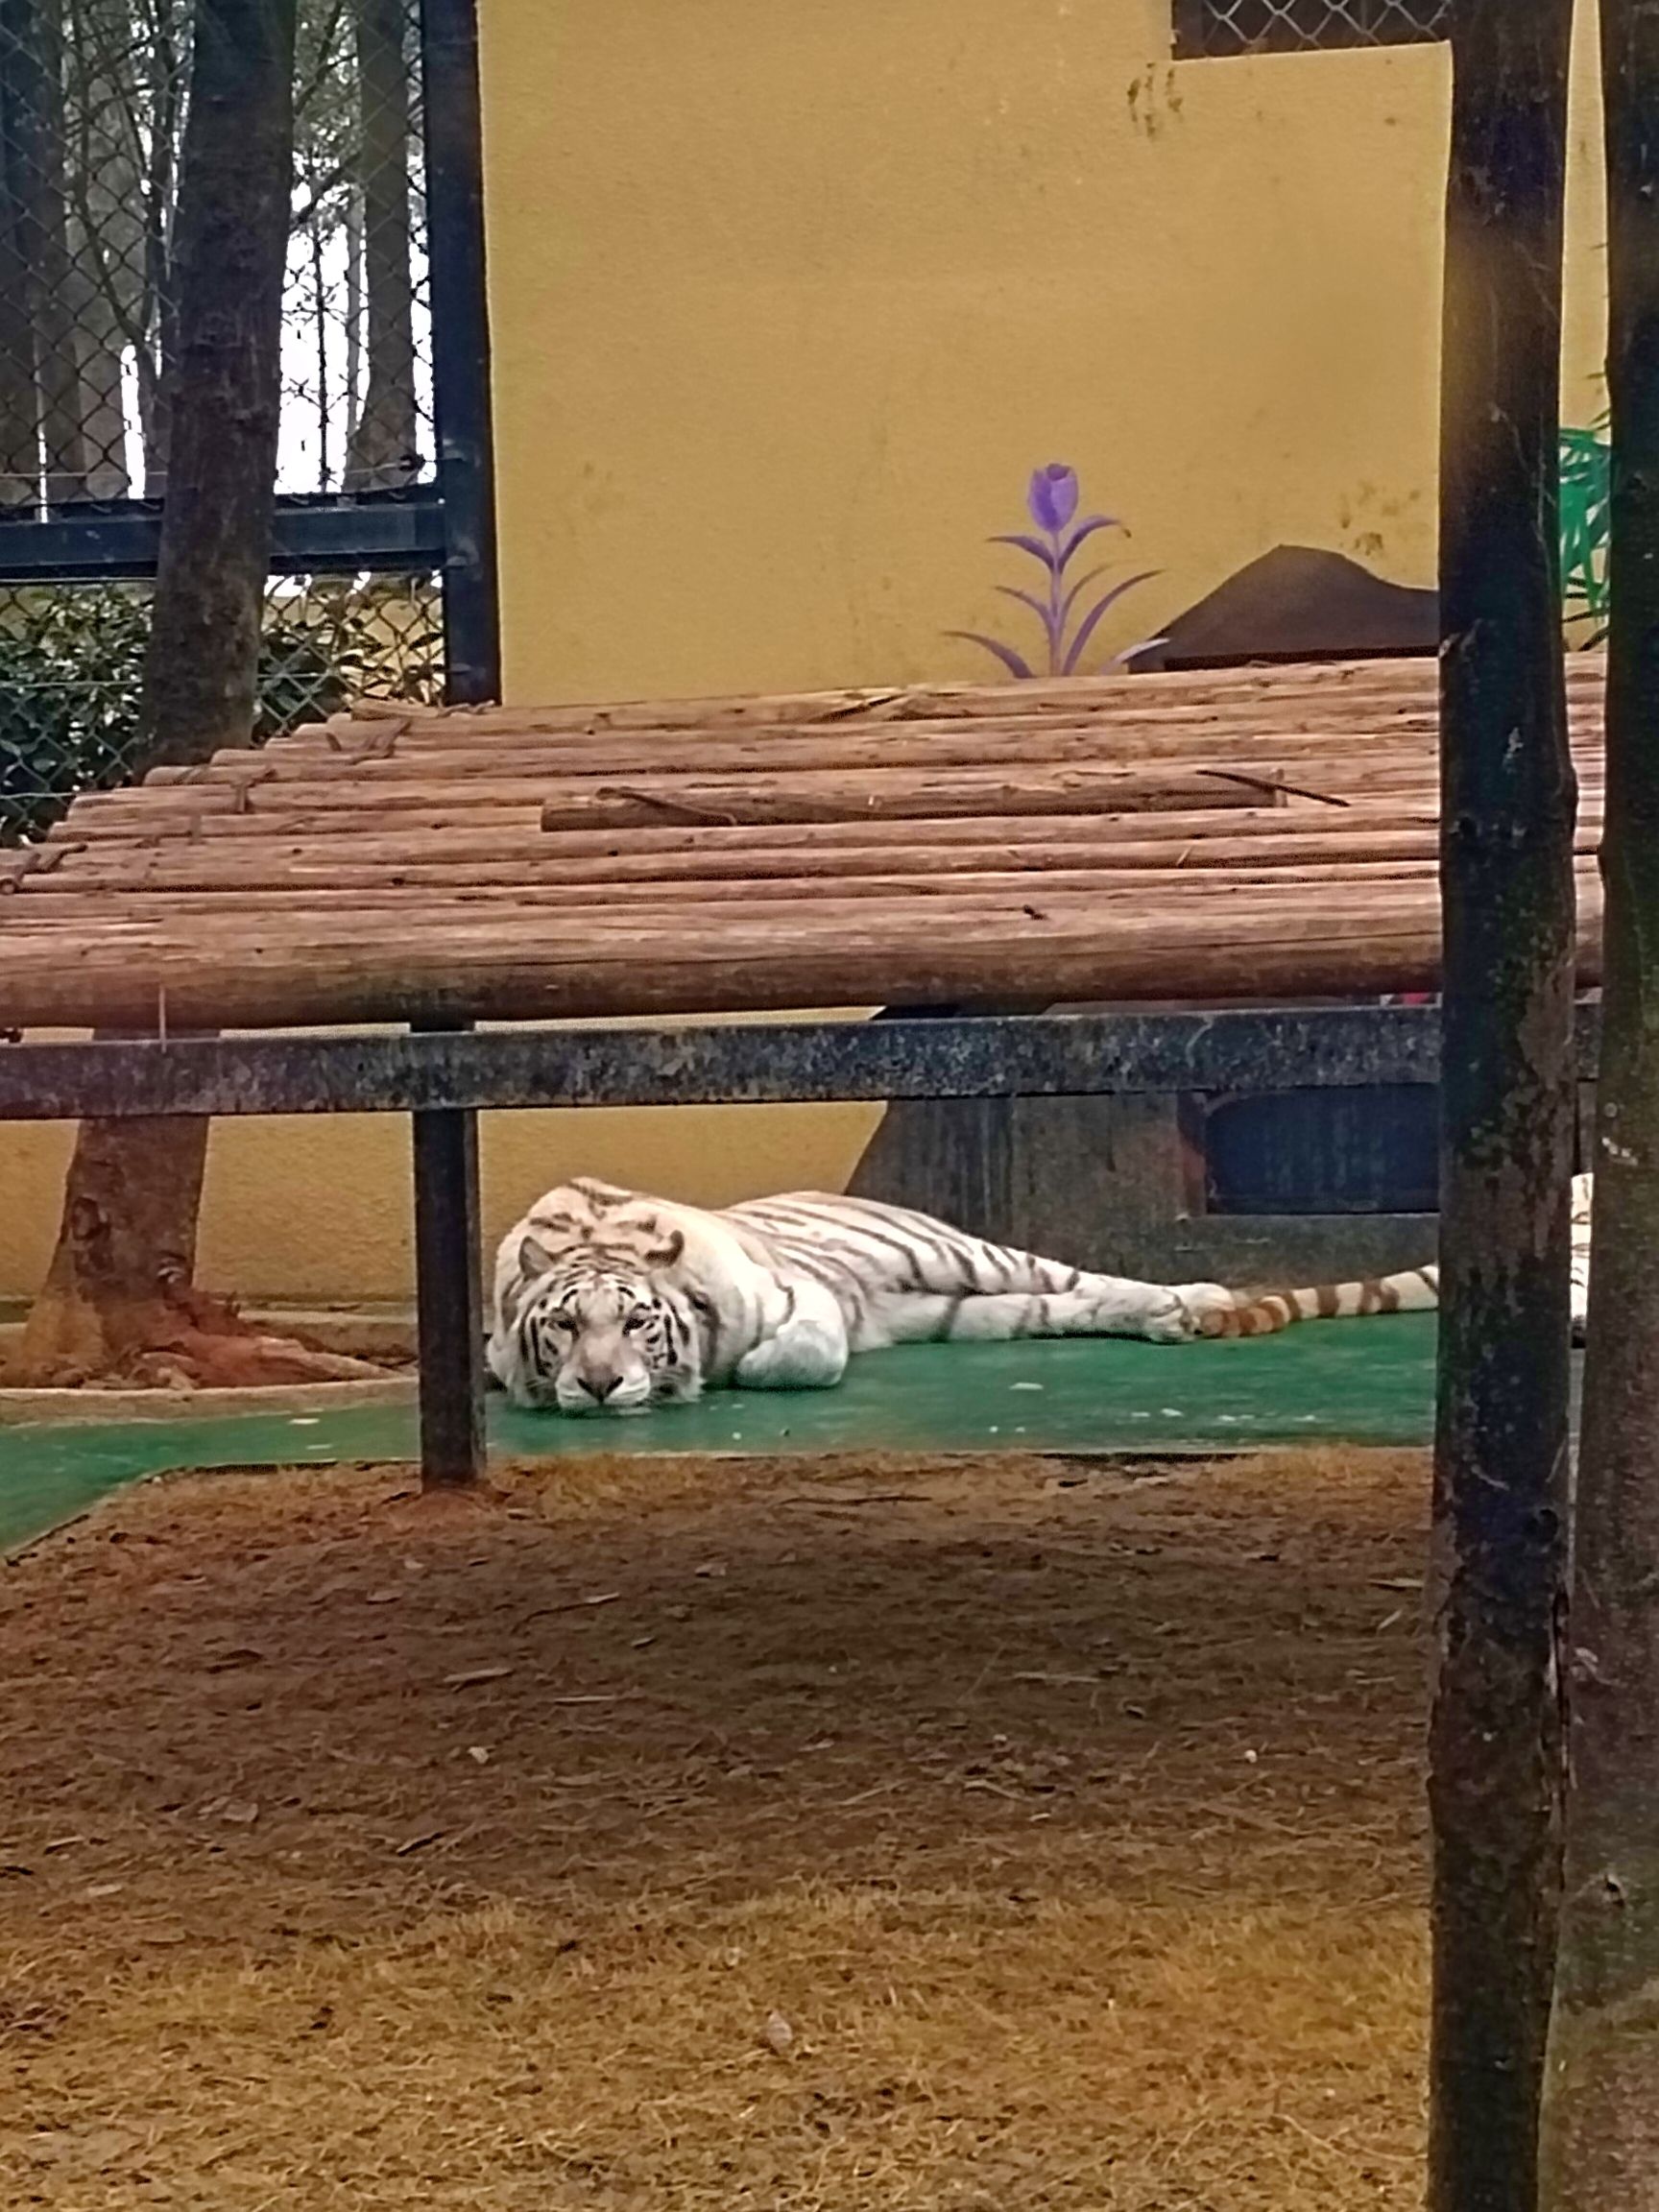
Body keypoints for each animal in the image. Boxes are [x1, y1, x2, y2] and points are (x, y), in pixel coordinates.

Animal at [486, 1175, 1243, 1414]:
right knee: (1055, 1308)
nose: (601, 1385)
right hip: (961, 1313)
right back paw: (1170, 1318)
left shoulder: (797, 1293)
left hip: (962, 1255)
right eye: (565, 1326)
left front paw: (732, 1371)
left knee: (1077, 1278)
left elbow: (796, 1356)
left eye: (637, 1322)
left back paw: (1196, 1301)